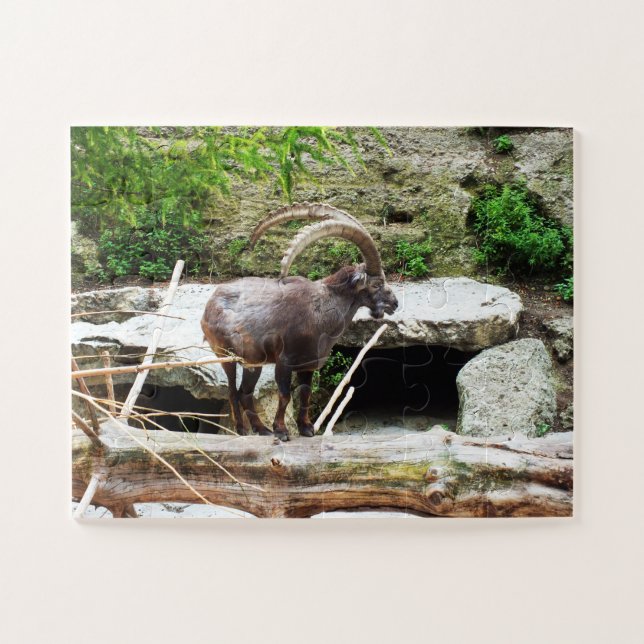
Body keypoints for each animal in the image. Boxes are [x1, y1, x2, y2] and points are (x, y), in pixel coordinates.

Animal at [201, 203, 398, 441]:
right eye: (377, 284)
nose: (395, 303)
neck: (321, 311)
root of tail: (210, 302)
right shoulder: (284, 361)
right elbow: (285, 395)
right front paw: (282, 431)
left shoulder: (308, 364)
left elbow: (305, 394)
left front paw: (306, 428)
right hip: (225, 355)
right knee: (232, 391)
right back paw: (242, 430)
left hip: (253, 362)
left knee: (245, 393)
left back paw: (262, 430)